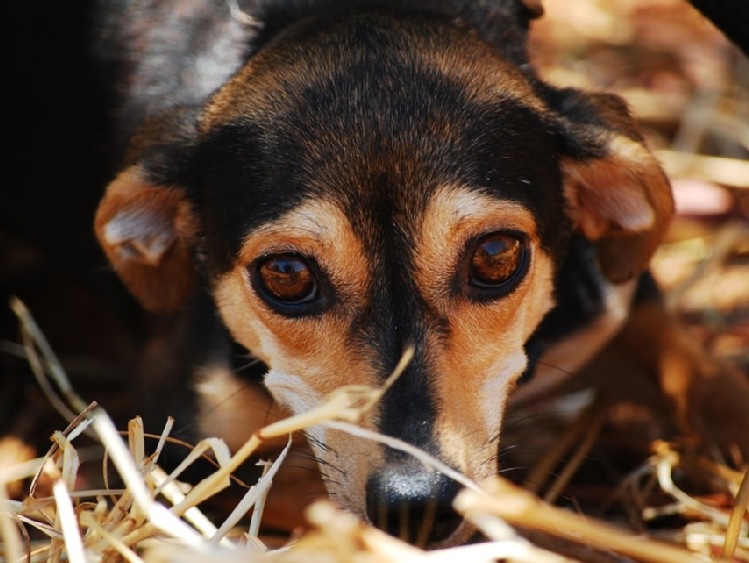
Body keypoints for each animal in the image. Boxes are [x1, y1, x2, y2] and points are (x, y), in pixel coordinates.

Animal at [49, 0, 744, 552]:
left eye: (496, 255)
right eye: (285, 274)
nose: (418, 506)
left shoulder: (618, 307)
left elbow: (708, 383)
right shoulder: (187, 452)